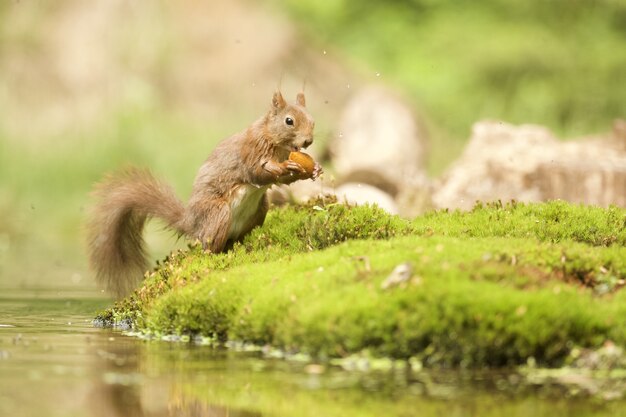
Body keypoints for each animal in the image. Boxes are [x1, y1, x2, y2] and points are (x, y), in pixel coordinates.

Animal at [86, 91, 322, 296]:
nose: (308, 141)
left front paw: (315, 169)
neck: (276, 142)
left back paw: (244, 246)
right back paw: (214, 258)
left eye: (312, 120)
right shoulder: (251, 151)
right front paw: (286, 166)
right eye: (289, 121)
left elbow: (282, 180)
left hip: (261, 208)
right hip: (218, 213)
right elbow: (257, 172)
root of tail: (192, 222)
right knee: (209, 247)